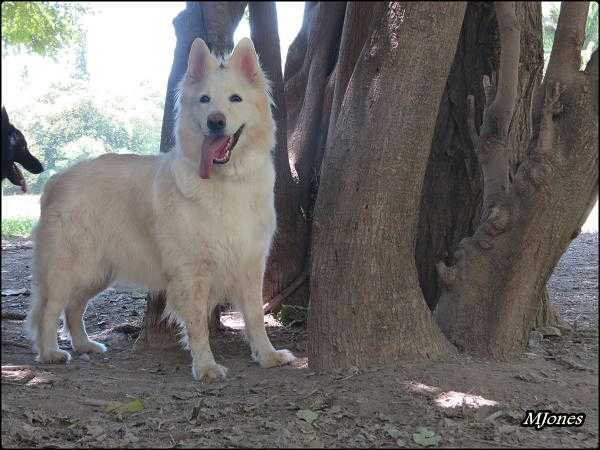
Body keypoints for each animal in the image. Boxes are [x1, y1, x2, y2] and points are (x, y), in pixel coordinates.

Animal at [27, 38, 296, 382]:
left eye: (235, 98)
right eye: (204, 99)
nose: (215, 121)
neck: (226, 181)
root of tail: (57, 178)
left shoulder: (249, 266)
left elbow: (255, 318)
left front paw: (268, 356)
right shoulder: (191, 272)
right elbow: (198, 326)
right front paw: (206, 366)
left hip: (97, 273)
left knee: (74, 308)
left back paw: (85, 344)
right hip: (68, 269)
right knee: (50, 311)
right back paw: (50, 352)